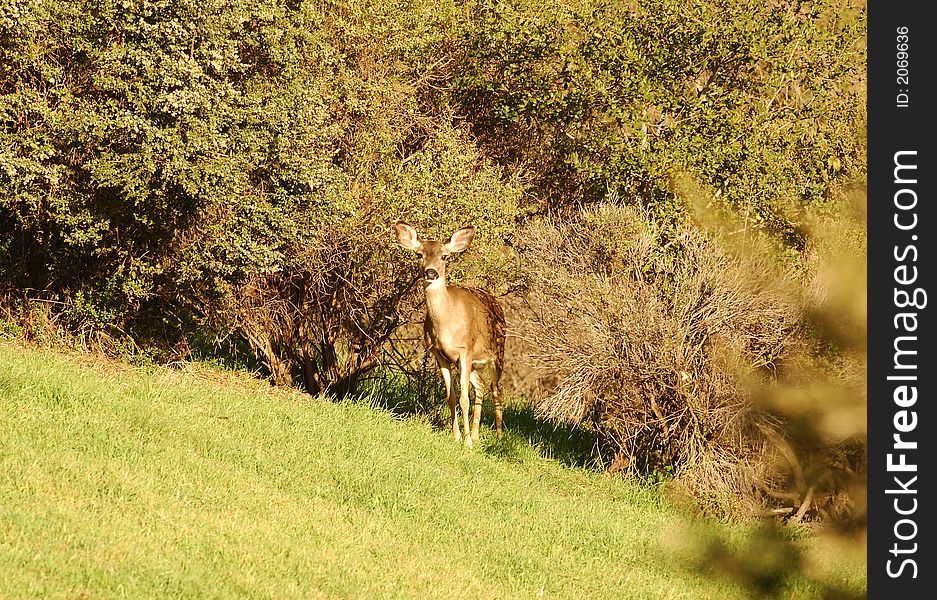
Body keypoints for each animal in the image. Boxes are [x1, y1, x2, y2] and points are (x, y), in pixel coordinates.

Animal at [392, 218, 504, 448]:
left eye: (444, 256)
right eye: (419, 254)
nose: (430, 273)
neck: (446, 325)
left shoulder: (465, 350)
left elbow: (463, 398)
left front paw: (467, 444)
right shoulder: (439, 354)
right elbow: (451, 396)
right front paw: (457, 436)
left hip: (498, 353)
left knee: (497, 391)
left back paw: (498, 439)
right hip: (475, 364)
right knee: (481, 386)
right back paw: (477, 435)